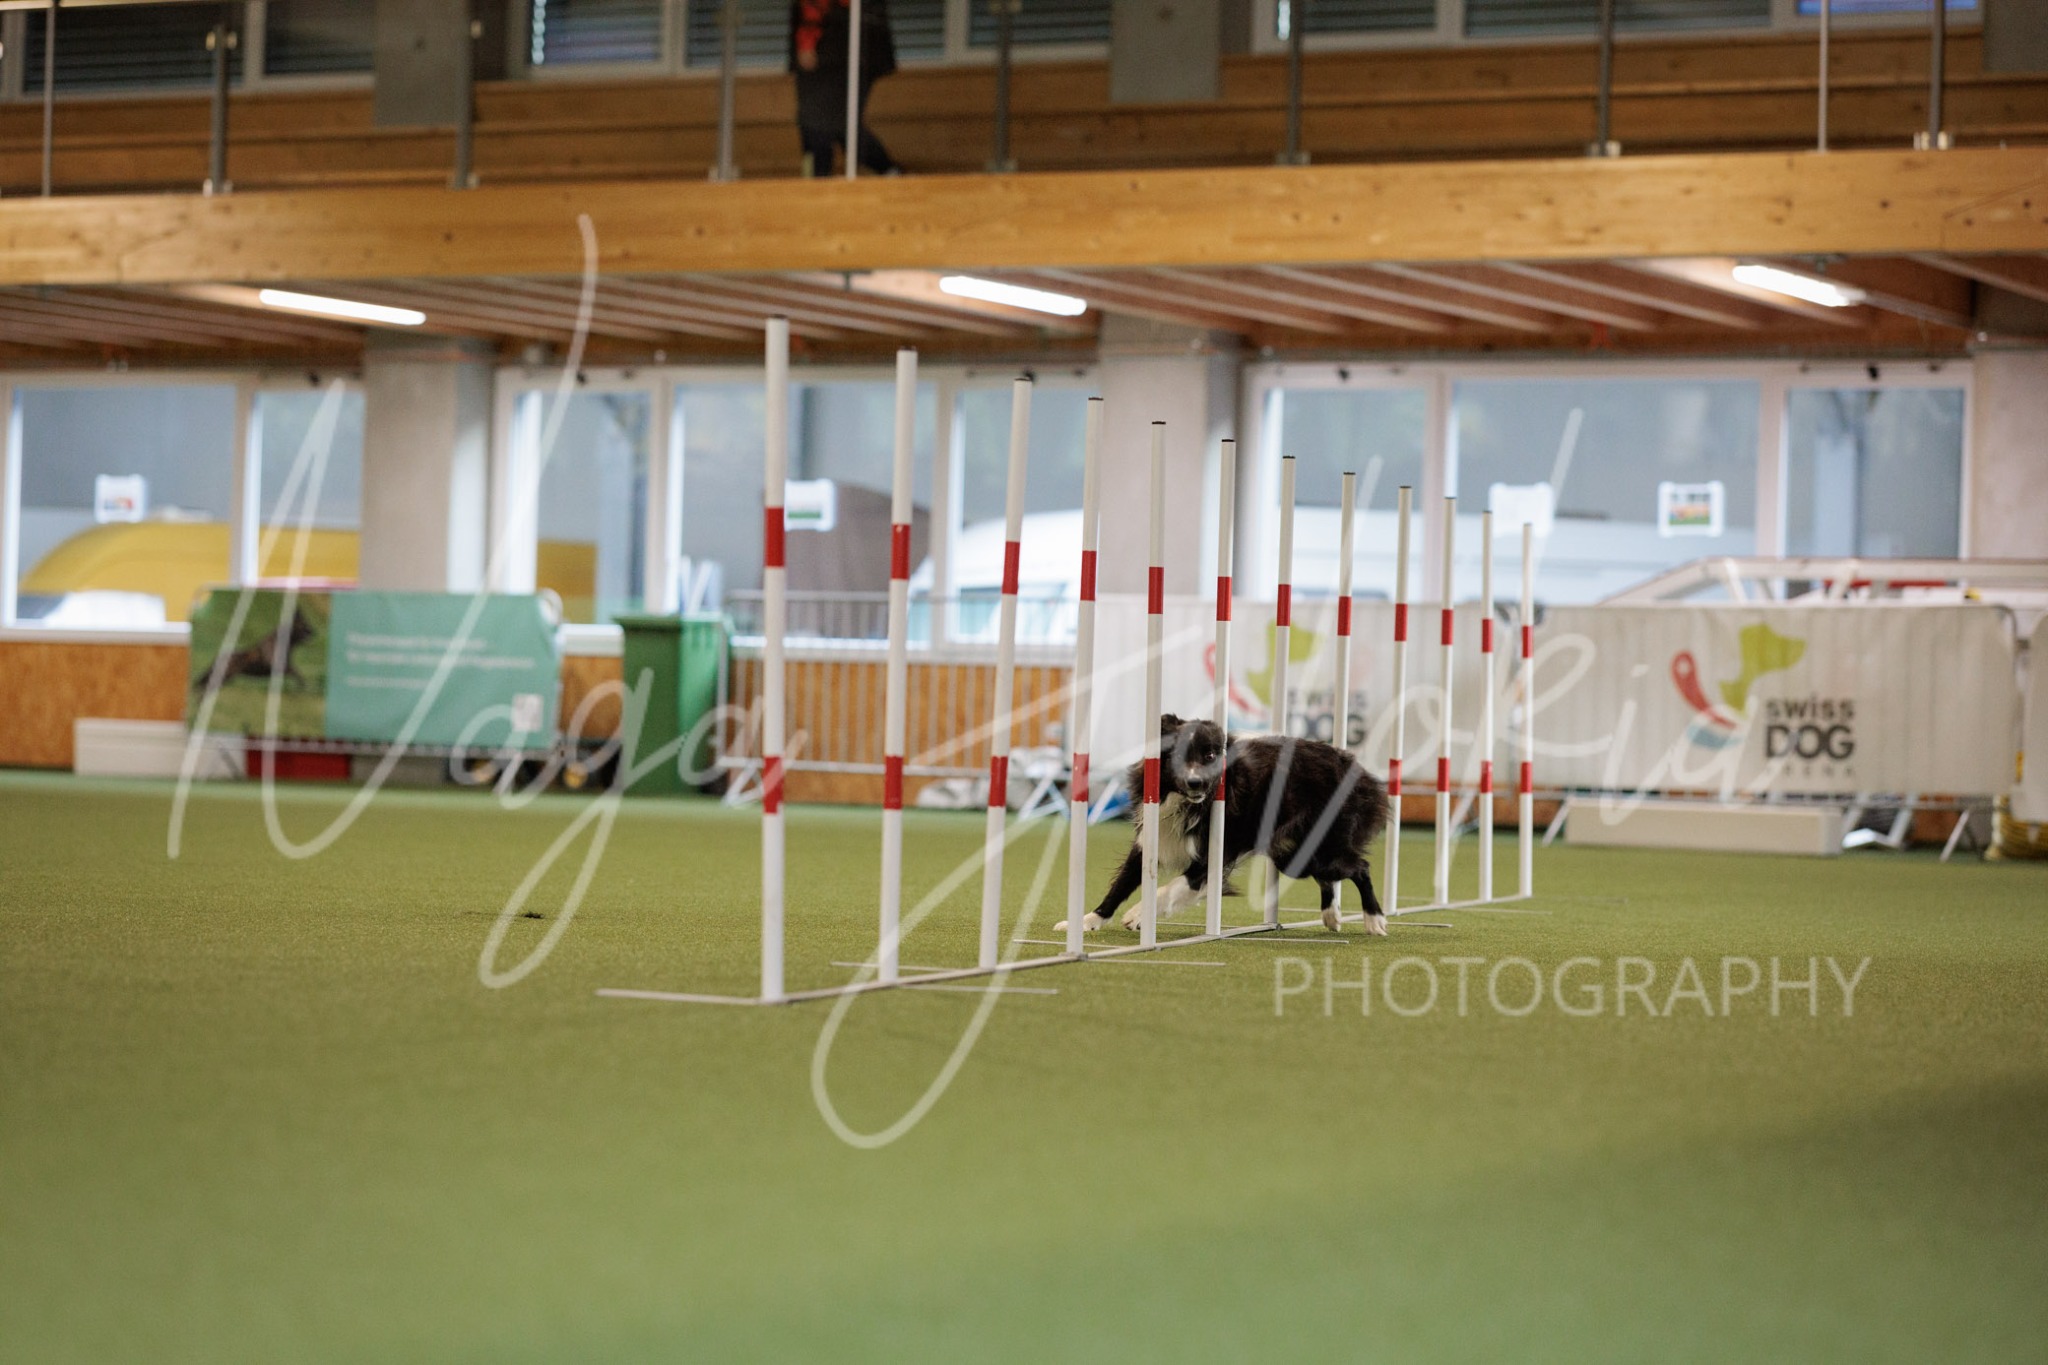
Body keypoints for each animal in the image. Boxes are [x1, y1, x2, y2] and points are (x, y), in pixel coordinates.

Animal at [1057, 714, 1392, 938]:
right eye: (1179, 755)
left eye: (1210, 755)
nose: (1196, 782)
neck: (1186, 801)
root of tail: (1361, 772)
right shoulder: (1149, 841)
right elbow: (1120, 886)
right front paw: (1086, 922)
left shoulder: (1214, 854)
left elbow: (1174, 885)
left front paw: (1138, 914)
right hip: (1294, 856)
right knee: (1329, 878)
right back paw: (1331, 916)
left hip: (1321, 847)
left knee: (1360, 867)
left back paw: (1374, 919)